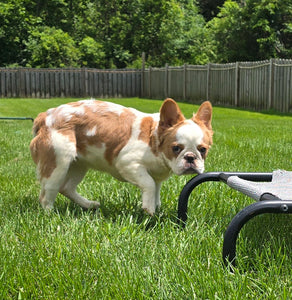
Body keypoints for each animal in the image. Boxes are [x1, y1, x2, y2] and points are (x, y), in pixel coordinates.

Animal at [30, 98, 212, 213]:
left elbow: (156, 189)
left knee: (66, 187)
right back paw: (51, 214)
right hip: (58, 161)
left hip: (78, 164)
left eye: (203, 150)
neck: (154, 139)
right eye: (176, 148)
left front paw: (155, 207)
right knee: (48, 193)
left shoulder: (156, 176)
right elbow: (149, 185)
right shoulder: (128, 164)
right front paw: (149, 210)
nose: (191, 157)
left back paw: (89, 205)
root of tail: (44, 116)